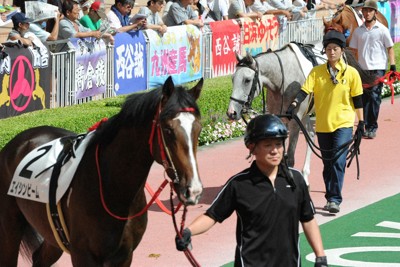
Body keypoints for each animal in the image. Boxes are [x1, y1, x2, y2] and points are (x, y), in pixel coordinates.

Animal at [0, 76, 205, 266]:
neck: (112, 188)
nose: (193, 190)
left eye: (198, 128)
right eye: (168, 129)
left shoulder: (124, 255)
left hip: (52, 233)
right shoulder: (83, 255)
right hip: (9, 228)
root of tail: (17, 142)